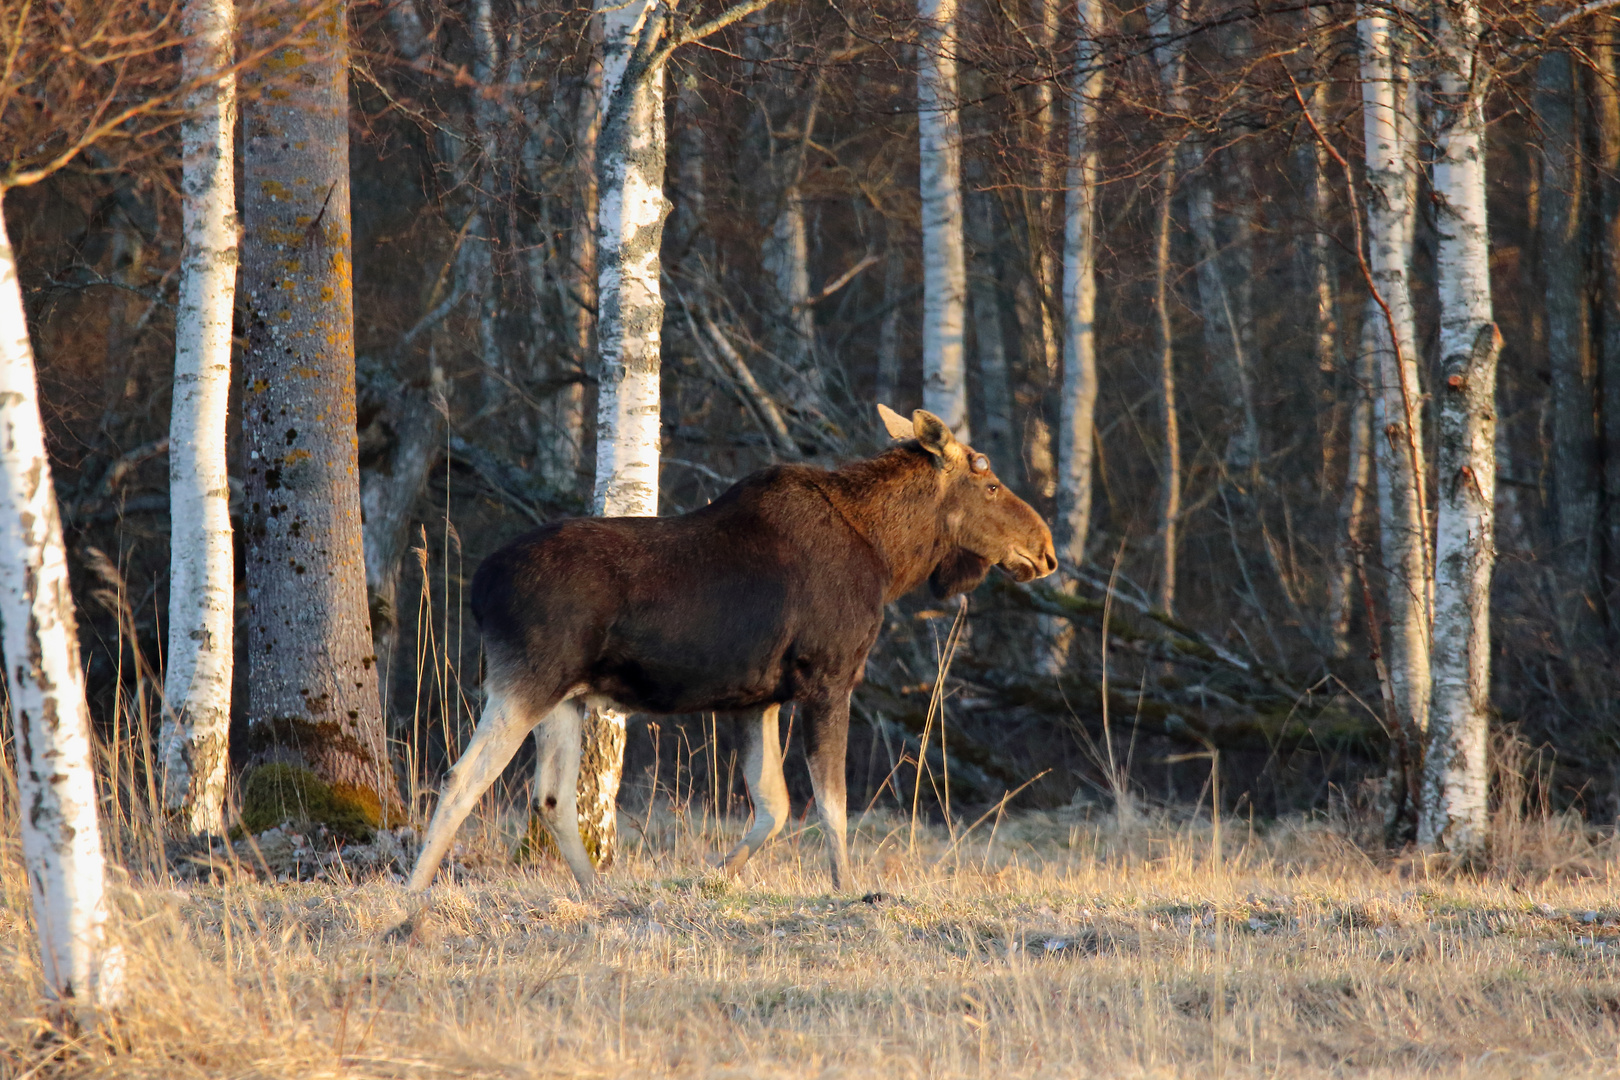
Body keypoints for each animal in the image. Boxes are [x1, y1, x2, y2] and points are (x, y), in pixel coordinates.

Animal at [403, 403, 1056, 893]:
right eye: (990, 482)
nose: (1045, 550)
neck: (890, 557)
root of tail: (479, 588)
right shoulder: (829, 677)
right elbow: (831, 804)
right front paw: (847, 889)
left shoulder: (755, 699)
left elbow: (774, 805)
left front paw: (712, 877)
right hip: (527, 681)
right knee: (461, 779)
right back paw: (410, 900)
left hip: (565, 696)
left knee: (553, 798)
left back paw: (599, 895)